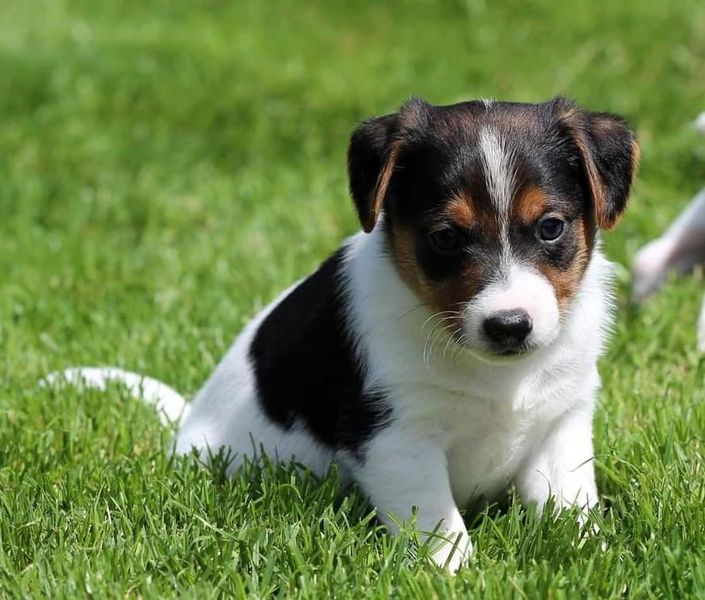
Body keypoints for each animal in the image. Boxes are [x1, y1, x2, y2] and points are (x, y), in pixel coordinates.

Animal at [49, 97, 639, 571]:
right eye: (445, 237)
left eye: (551, 227)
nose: (510, 325)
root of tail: (187, 423)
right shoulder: (395, 437)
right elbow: (440, 526)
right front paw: (456, 576)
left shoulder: (561, 425)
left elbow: (572, 508)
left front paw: (594, 558)